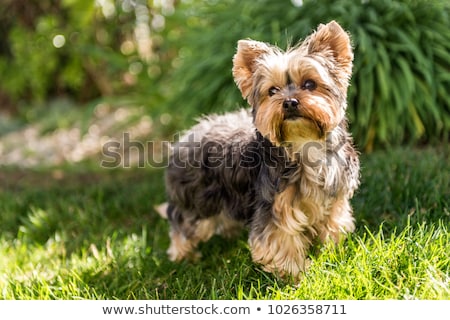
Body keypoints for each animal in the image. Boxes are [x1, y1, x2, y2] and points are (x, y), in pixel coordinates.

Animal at [156, 21, 360, 278]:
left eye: (309, 84)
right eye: (272, 91)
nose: (289, 102)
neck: (304, 143)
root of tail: (185, 137)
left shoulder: (334, 197)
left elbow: (333, 224)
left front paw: (331, 252)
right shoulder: (274, 205)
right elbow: (281, 240)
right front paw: (295, 274)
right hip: (197, 198)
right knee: (183, 222)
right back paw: (183, 256)